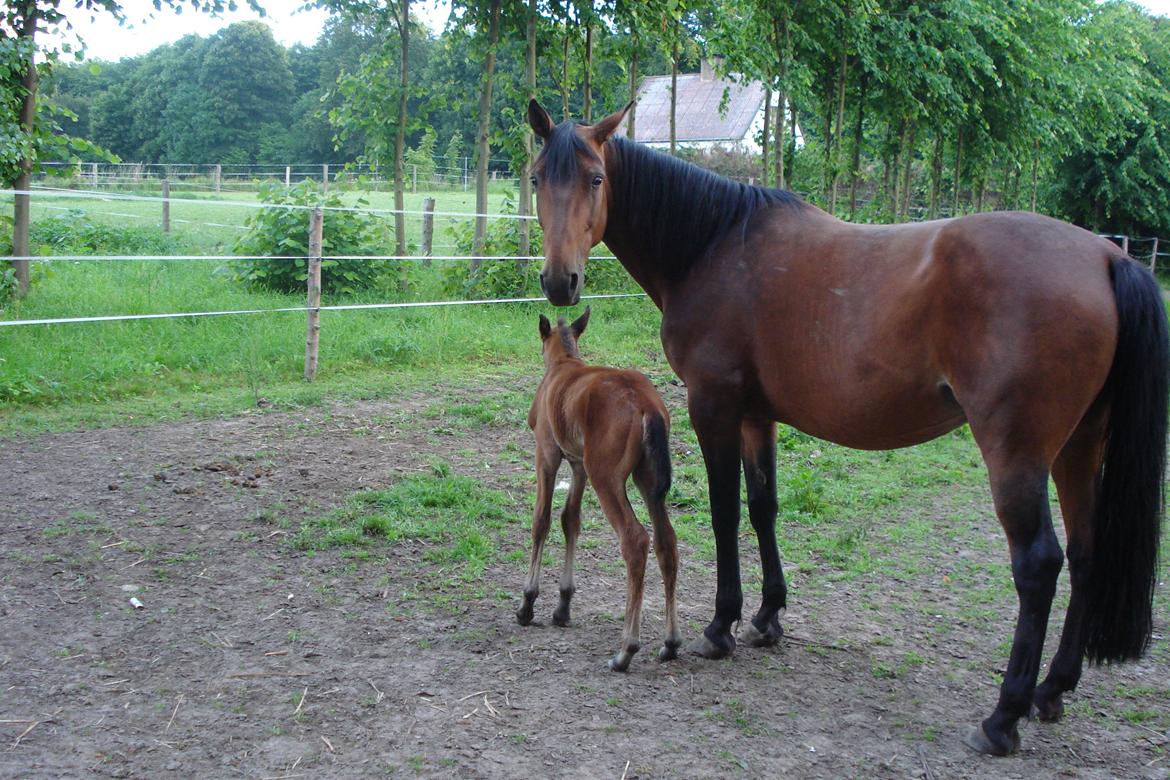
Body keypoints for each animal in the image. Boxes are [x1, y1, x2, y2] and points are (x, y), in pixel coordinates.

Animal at [514, 306, 683, 673]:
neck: (563, 366)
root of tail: (647, 405)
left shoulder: (546, 455)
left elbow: (541, 520)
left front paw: (528, 604)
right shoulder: (579, 465)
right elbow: (570, 519)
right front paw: (562, 606)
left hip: (607, 477)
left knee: (636, 540)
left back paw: (626, 650)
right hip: (647, 481)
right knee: (666, 542)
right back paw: (670, 643)